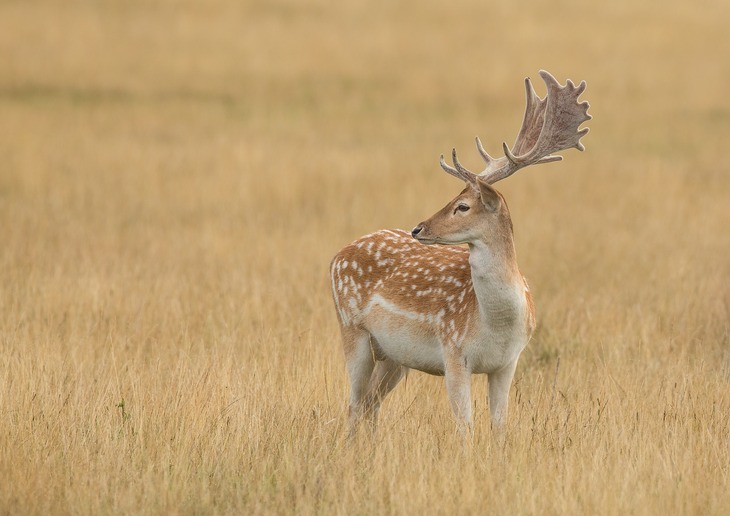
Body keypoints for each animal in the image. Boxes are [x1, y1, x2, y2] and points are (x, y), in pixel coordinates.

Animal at [328, 70, 588, 438]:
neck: (494, 325)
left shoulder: (508, 364)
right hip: (352, 330)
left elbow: (499, 428)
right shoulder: (453, 355)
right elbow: (466, 430)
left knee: (369, 404)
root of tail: (338, 255)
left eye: (462, 206)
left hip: (394, 357)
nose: (418, 228)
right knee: (353, 405)